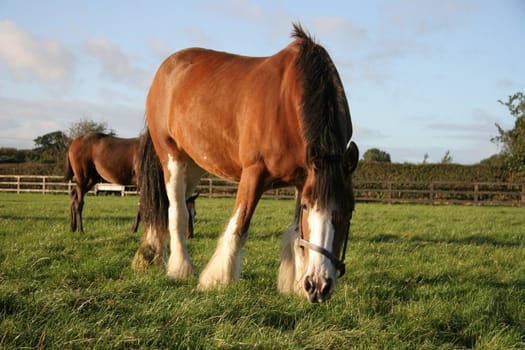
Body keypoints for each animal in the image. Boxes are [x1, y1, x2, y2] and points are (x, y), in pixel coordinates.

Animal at [133, 23, 358, 304]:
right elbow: (239, 226)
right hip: (172, 158)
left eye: (349, 210)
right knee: (177, 212)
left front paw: (296, 286)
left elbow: (297, 232)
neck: (289, 102)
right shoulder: (254, 173)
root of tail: (167, 68)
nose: (318, 286)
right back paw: (179, 268)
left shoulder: (303, 179)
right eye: (309, 206)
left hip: (193, 166)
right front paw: (215, 280)